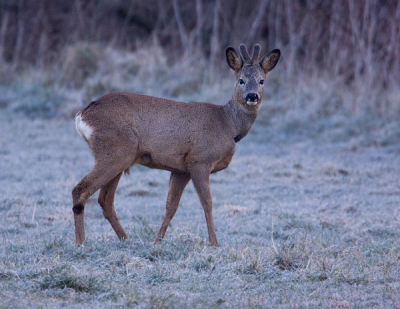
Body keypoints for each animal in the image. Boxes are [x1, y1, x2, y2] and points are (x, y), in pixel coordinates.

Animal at [72, 43, 280, 245]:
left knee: (105, 200)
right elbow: (207, 203)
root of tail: (82, 115)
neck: (228, 124)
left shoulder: (180, 169)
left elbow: (171, 206)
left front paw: (157, 241)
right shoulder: (199, 160)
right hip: (115, 151)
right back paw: (82, 243)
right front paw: (214, 243)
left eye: (262, 81)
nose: (252, 96)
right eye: (241, 80)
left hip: (119, 157)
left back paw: (126, 239)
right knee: (80, 191)